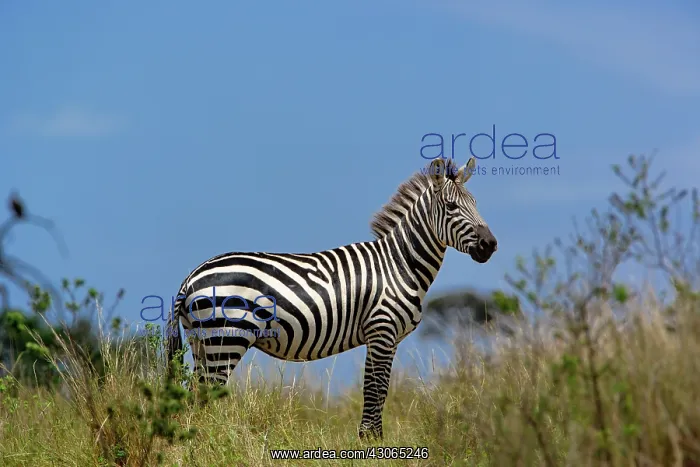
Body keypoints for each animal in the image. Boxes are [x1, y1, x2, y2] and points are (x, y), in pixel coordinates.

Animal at [166, 156, 498, 439]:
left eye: (476, 204)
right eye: (451, 206)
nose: (490, 245)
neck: (399, 263)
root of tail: (191, 276)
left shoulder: (388, 339)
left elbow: (380, 388)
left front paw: (372, 439)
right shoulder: (381, 331)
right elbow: (375, 388)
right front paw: (370, 441)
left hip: (202, 342)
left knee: (195, 395)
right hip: (226, 340)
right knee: (205, 395)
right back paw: (211, 441)